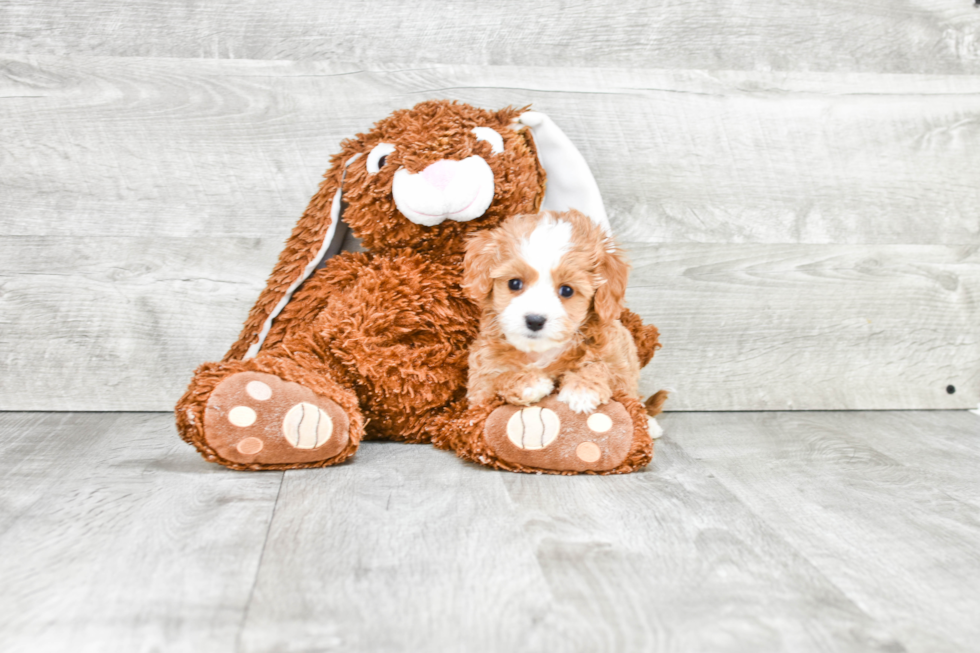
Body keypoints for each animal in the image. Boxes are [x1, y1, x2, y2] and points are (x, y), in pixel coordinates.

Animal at [466, 209, 668, 422]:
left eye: (567, 290)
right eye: (514, 283)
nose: (535, 320)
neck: (542, 351)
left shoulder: (618, 361)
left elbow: (601, 366)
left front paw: (583, 388)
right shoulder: (481, 379)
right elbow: (496, 379)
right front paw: (529, 383)